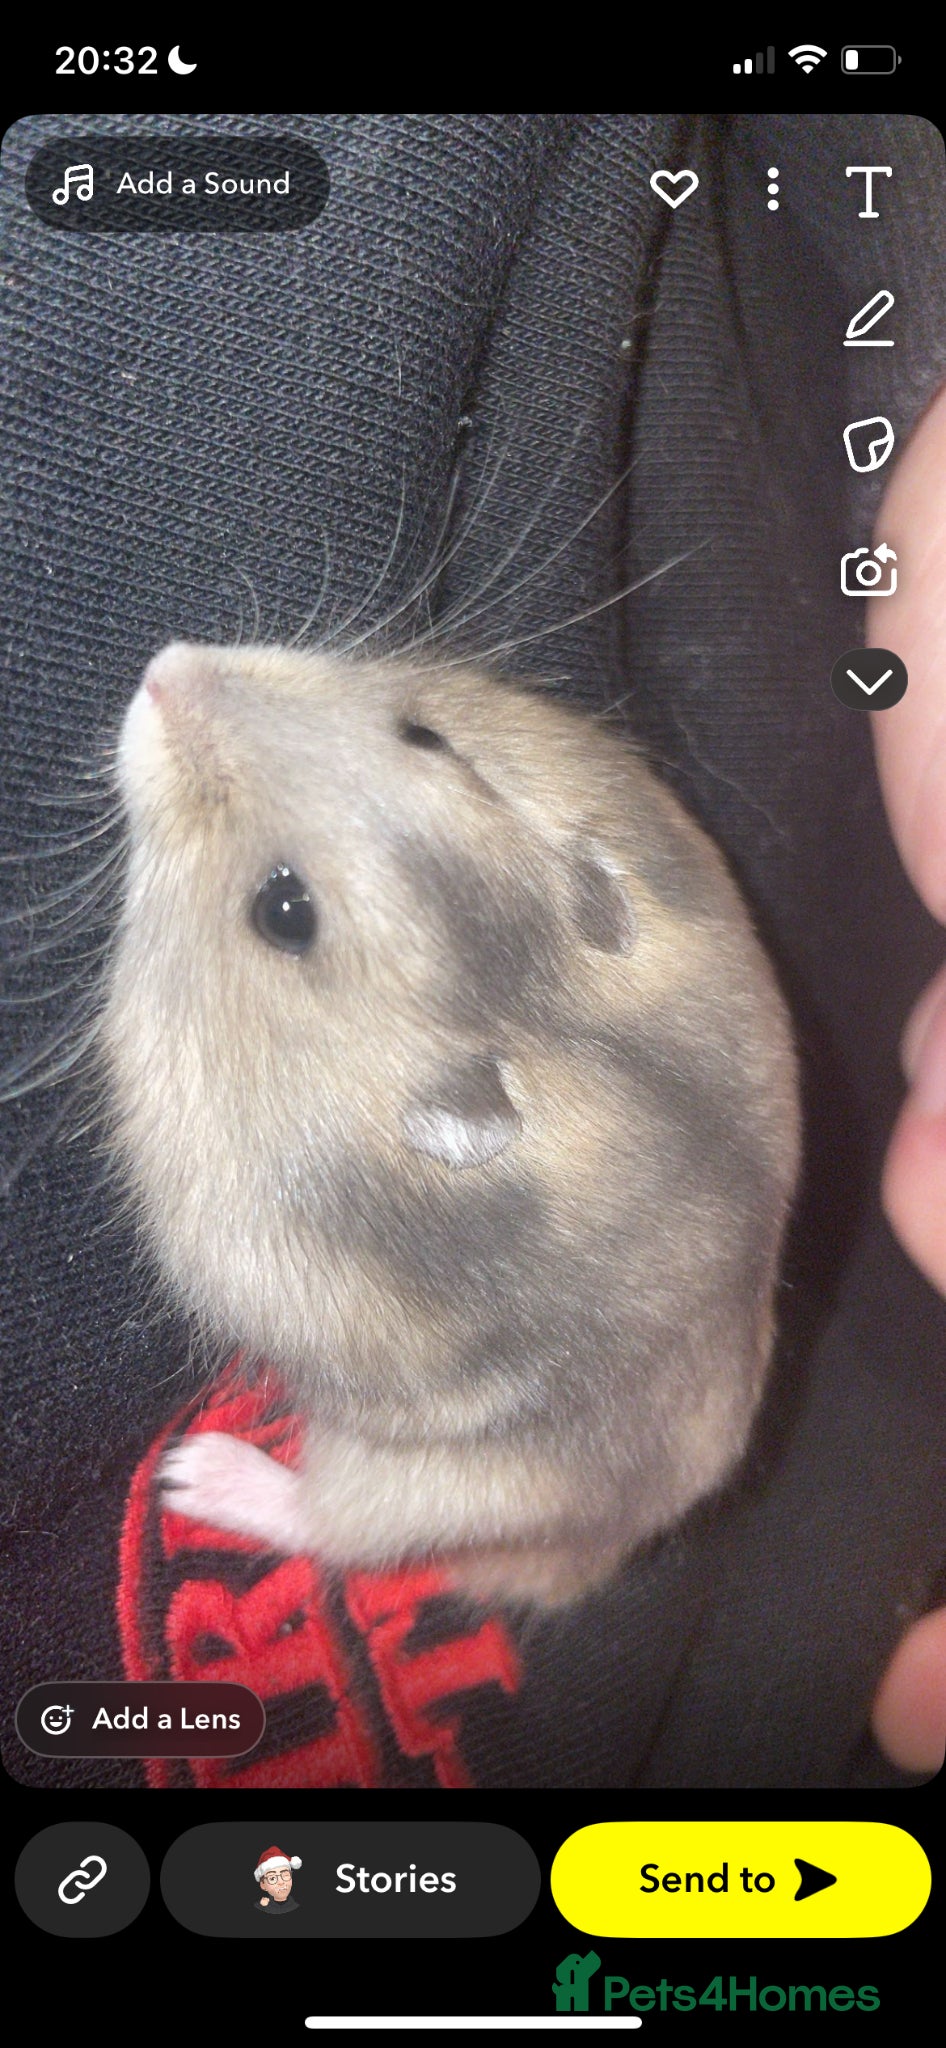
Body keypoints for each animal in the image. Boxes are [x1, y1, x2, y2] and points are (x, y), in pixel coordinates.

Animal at [101, 639, 800, 1607]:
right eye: (425, 733)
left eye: (285, 910)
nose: (164, 670)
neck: (520, 1005)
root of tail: (598, 1558)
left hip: (428, 1485)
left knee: (337, 1526)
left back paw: (197, 1473)